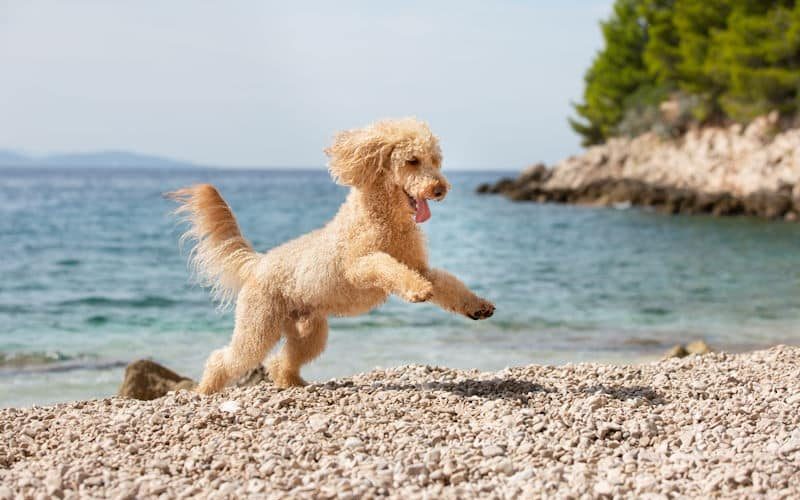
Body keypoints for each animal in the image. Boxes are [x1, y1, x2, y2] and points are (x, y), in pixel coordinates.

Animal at [168, 118, 494, 394]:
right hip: (258, 327)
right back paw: (205, 390)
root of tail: (258, 263)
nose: (440, 189)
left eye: (435, 161)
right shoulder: (359, 267)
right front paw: (416, 290)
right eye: (412, 161)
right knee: (225, 359)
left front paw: (477, 306)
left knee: (281, 361)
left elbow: (448, 285)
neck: (385, 219)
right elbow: (385, 265)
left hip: (309, 331)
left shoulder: (418, 265)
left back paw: (294, 383)